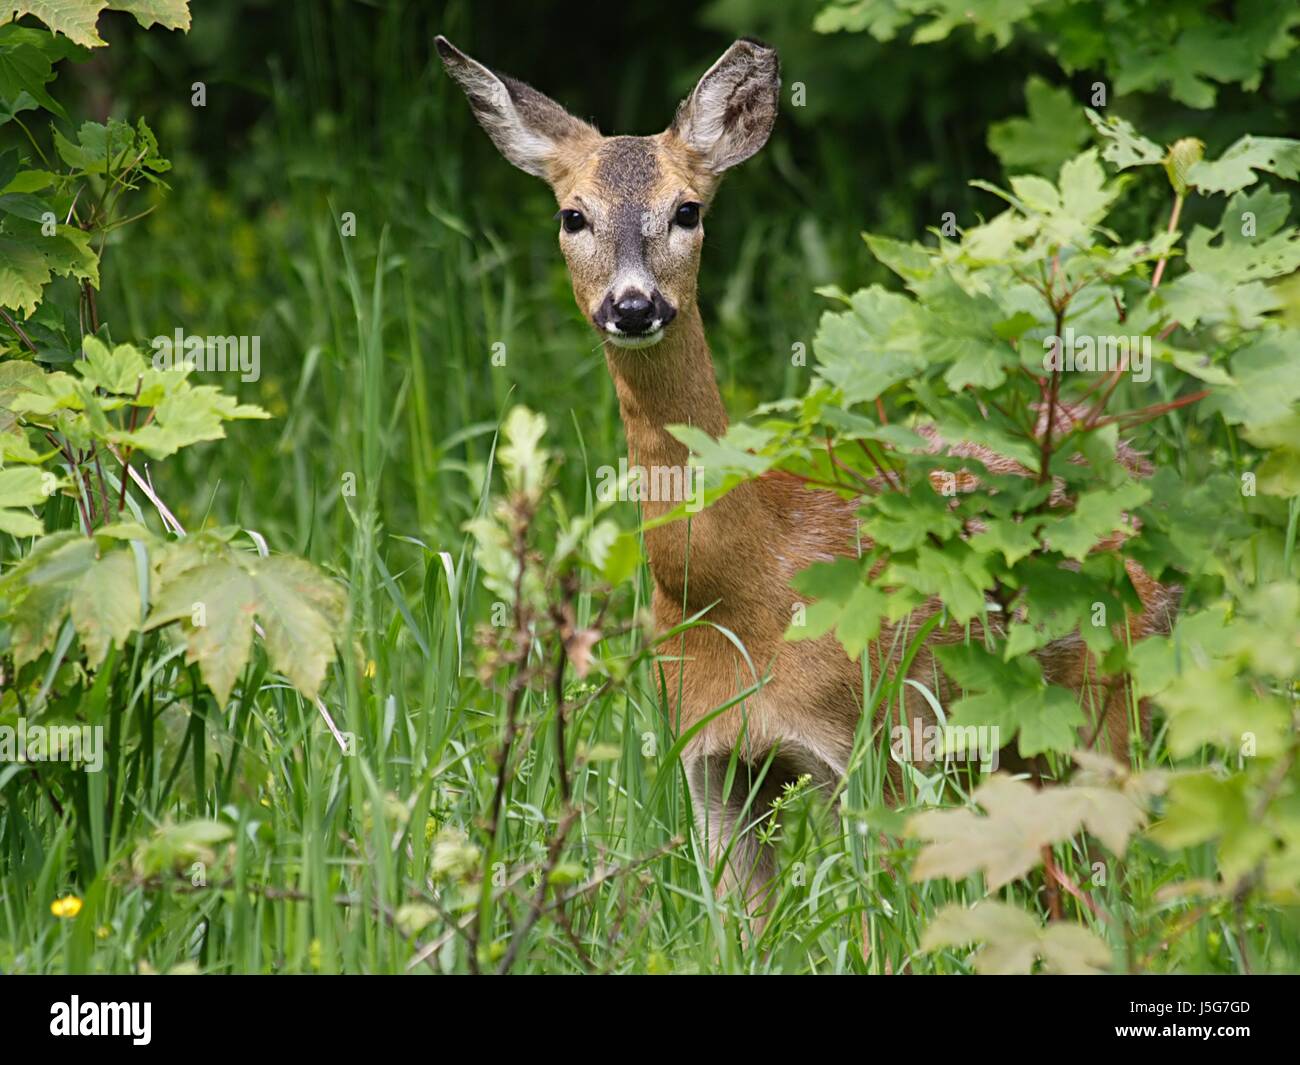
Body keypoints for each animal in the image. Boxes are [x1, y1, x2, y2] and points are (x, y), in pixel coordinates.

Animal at [439, 33, 1180, 915]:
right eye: (571, 214)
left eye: (687, 210)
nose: (633, 305)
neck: (738, 587)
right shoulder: (709, 758)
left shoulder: (874, 743)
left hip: (1108, 699)